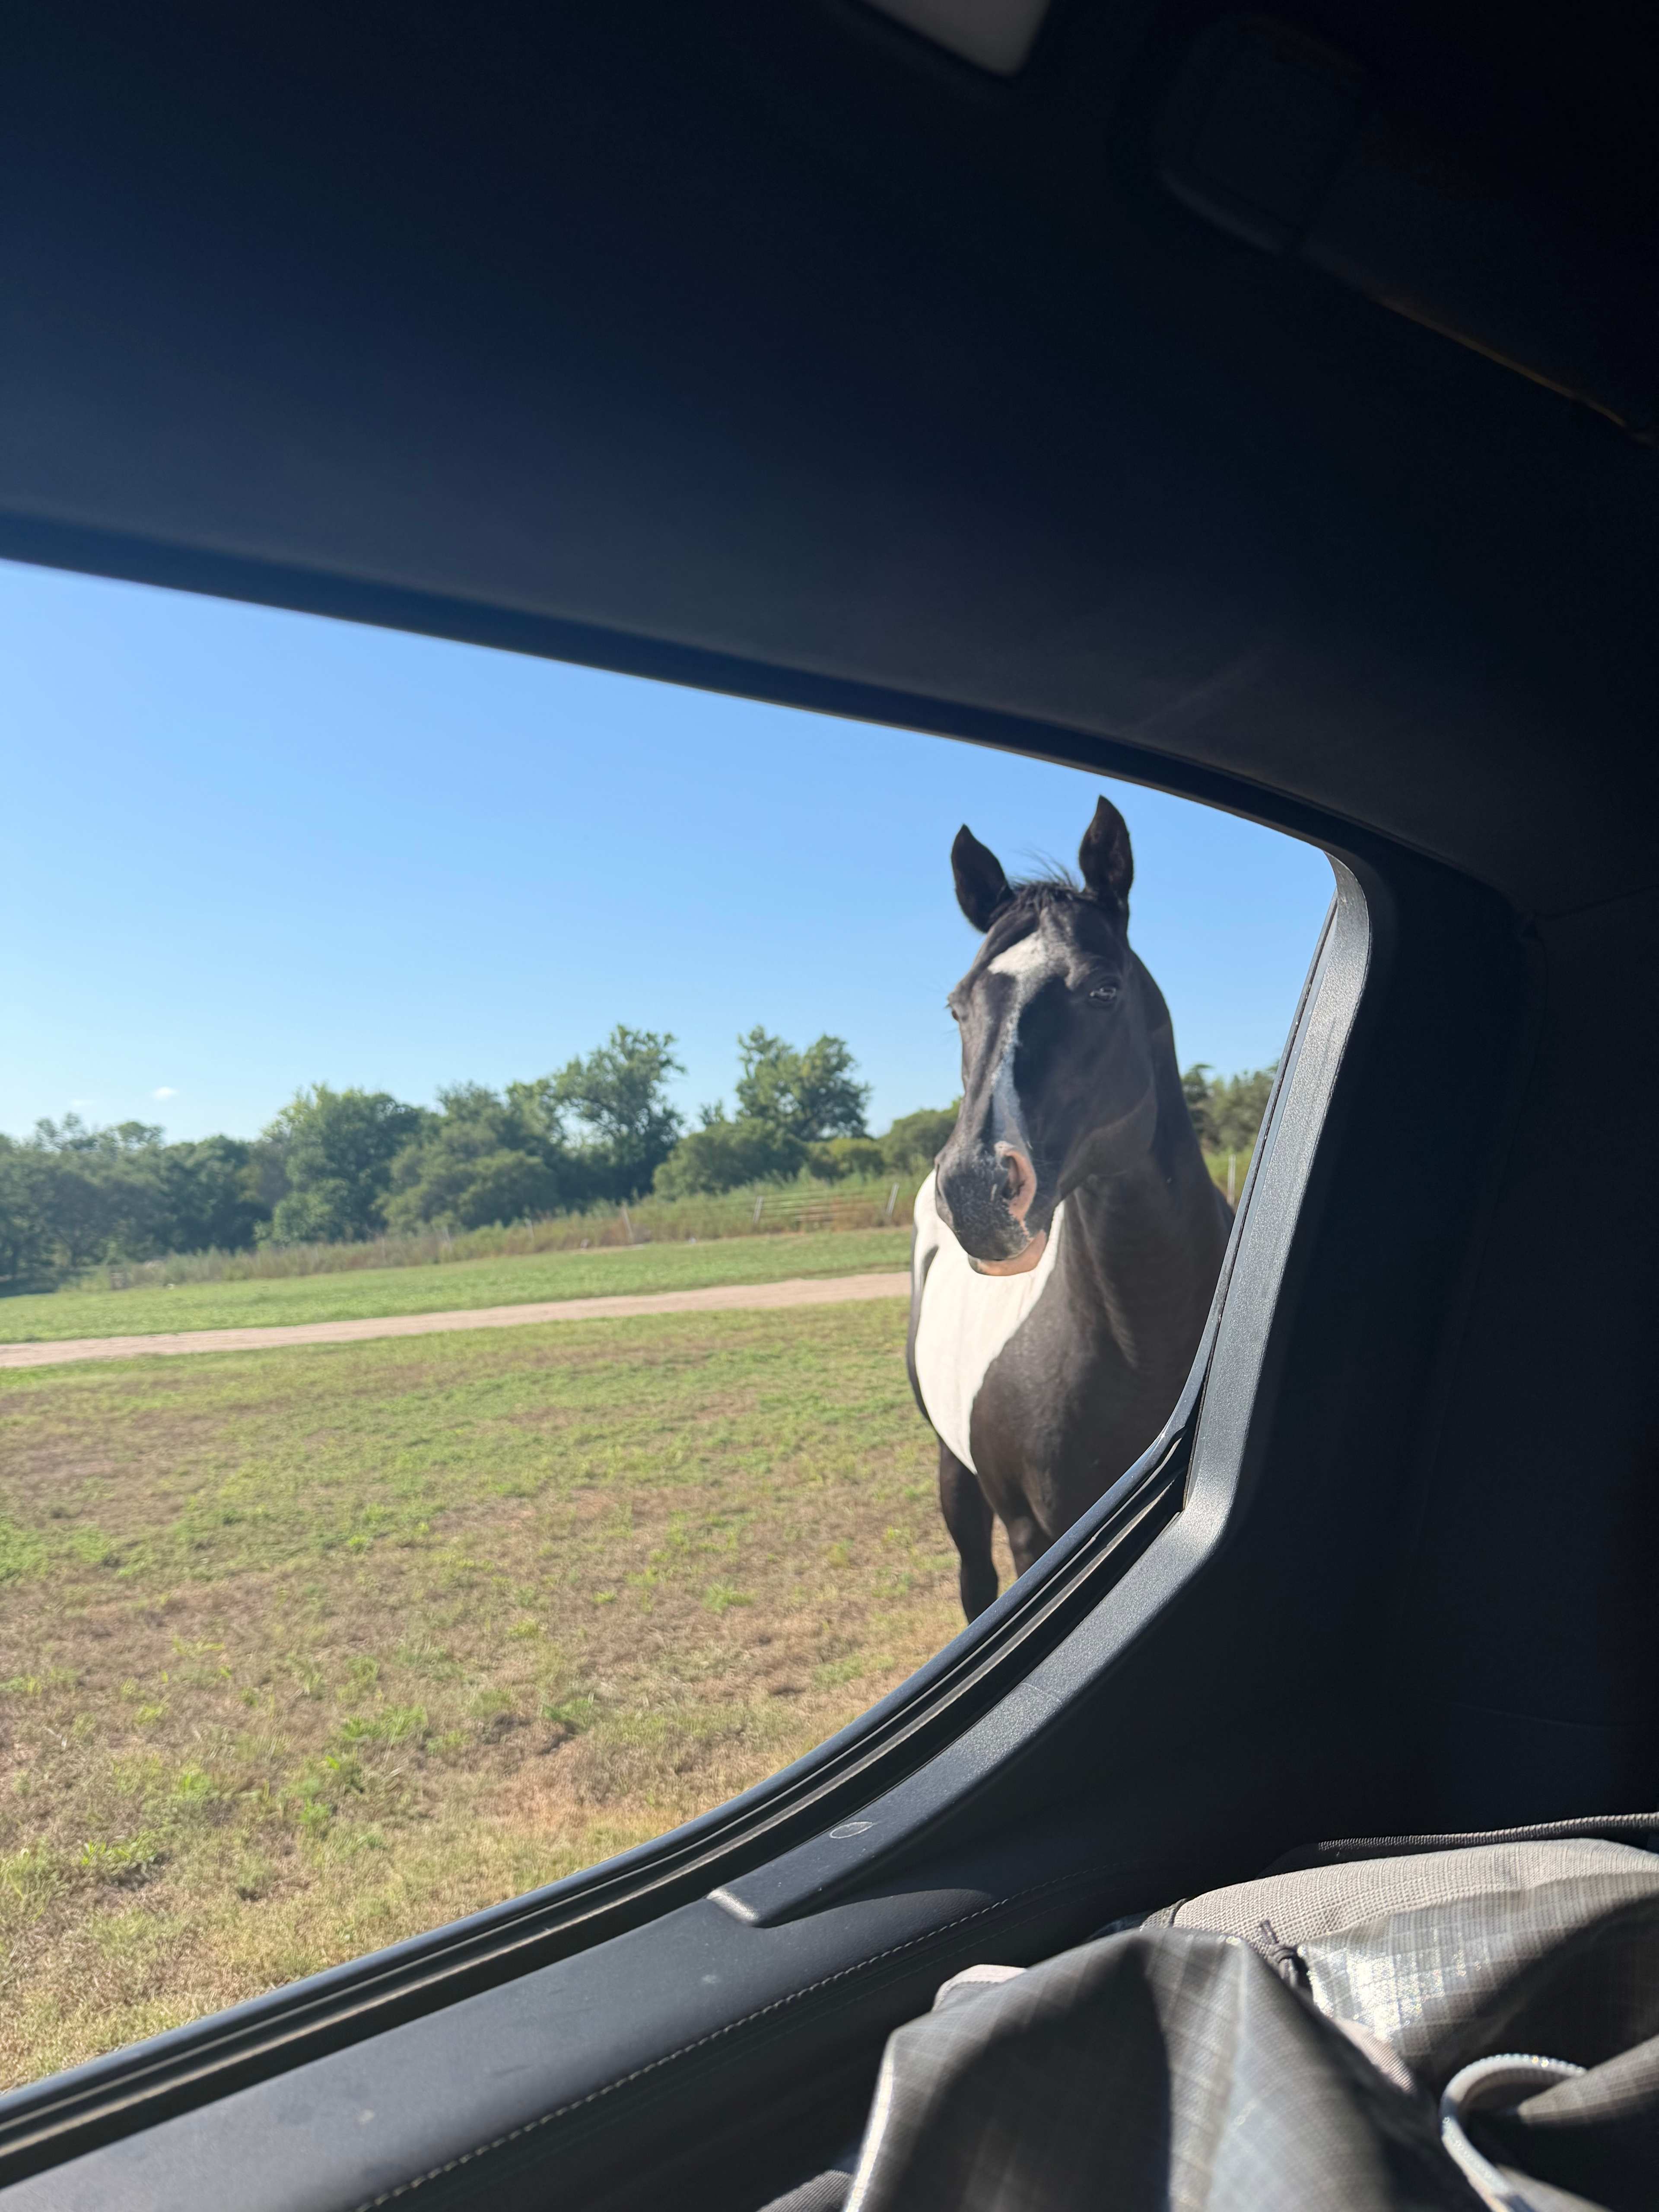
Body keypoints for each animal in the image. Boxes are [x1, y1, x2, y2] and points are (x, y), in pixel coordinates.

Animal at [907, 796, 1234, 1621]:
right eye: (957, 1007)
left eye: (1104, 990)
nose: (974, 1190)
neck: (1140, 1341)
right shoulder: (1035, 1535)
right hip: (953, 1470)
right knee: (974, 1576)